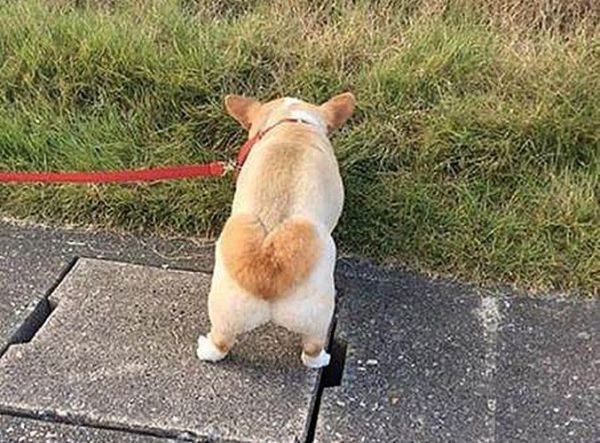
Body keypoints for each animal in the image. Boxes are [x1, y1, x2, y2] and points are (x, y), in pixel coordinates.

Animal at [196, 92, 355, 368]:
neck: (292, 122)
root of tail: (267, 268)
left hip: (226, 308)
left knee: (221, 343)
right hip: (317, 315)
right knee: (311, 351)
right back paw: (322, 358)